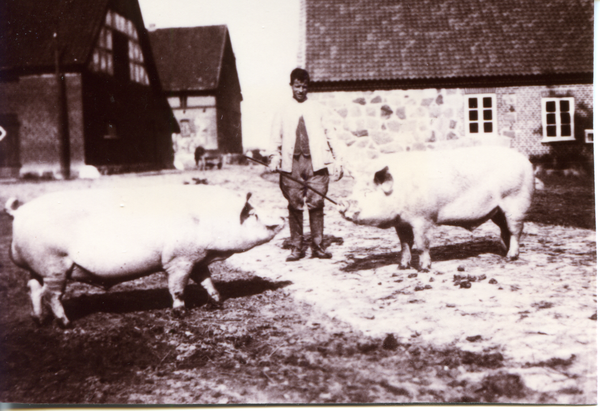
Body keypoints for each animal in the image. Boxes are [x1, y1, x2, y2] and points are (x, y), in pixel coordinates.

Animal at [4, 185, 286, 326]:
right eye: (254, 215)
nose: (282, 219)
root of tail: (18, 213)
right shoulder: (178, 260)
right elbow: (177, 287)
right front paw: (180, 314)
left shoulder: (196, 259)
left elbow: (207, 280)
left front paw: (218, 302)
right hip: (54, 263)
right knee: (51, 294)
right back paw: (65, 324)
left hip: (37, 266)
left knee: (33, 289)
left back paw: (39, 321)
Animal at [340, 146, 532, 272]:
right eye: (353, 190)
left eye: (367, 192)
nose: (342, 205)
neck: (400, 190)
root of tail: (525, 160)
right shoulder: (401, 223)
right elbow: (405, 244)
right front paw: (402, 267)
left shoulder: (423, 218)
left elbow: (422, 244)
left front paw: (424, 269)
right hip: (497, 210)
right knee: (505, 229)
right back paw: (503, 251)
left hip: (516, 201)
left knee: (516, 230)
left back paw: (511, 256)